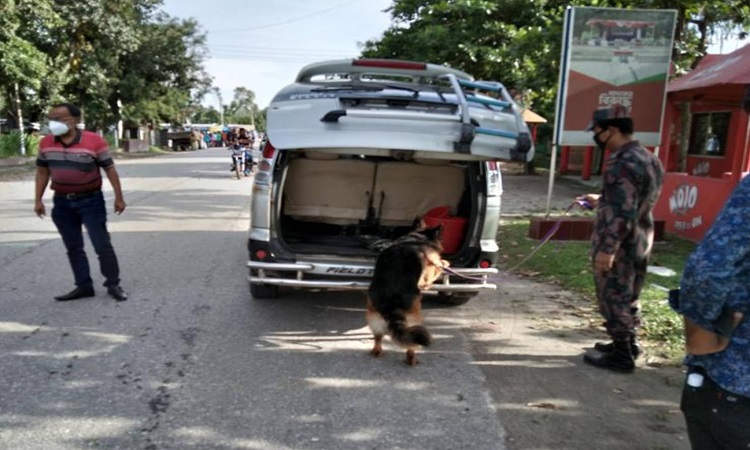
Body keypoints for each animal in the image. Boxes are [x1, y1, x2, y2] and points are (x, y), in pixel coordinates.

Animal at [368, 225, 450, 366]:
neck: (417, 239)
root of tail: (391, 300)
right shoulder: (428, 275)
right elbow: (438, 267)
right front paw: (444, 262)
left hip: (373, 314)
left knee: (378, 336)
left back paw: (377, 350)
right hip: (414, 318)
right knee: (411, 345)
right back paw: (412, 359)